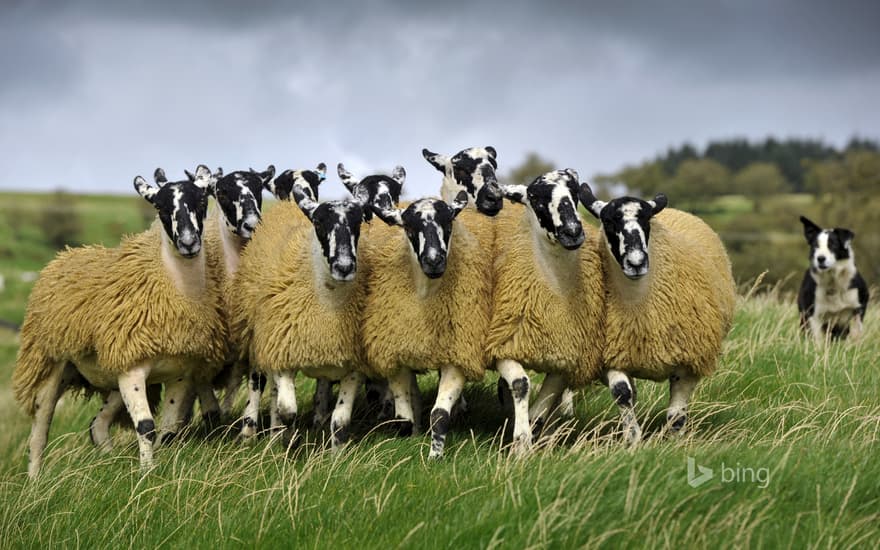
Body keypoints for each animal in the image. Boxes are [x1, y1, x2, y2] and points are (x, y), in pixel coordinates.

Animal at [12, 166, 227, 476]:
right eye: (160, 207)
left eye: (201, 201)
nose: (188, 244)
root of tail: (65, 255)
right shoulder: (132, 370)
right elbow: (146, 427)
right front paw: (147, 474)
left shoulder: (180, 372)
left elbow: (168, 429)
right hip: (50, 361)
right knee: (39, 430)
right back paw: (35, 481)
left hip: (109, 372)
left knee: (97, 424)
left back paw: (108, 460)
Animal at [484, 171, 608, 452]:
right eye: (536, 198)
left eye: (574, 193)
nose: (572, 231)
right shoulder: (503, 346)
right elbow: (520, 384)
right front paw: (521, 442)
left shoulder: (564, 360)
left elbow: (542, 407)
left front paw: (532, 436)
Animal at [576, 185, 736, 444]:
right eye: (608, 221)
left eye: (646, 220)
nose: (636, 263)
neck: (638, 305)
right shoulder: (613, 354)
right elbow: (622, 394)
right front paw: (633, 439)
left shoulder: (688, 361)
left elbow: (676, 415)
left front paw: (674, 441)